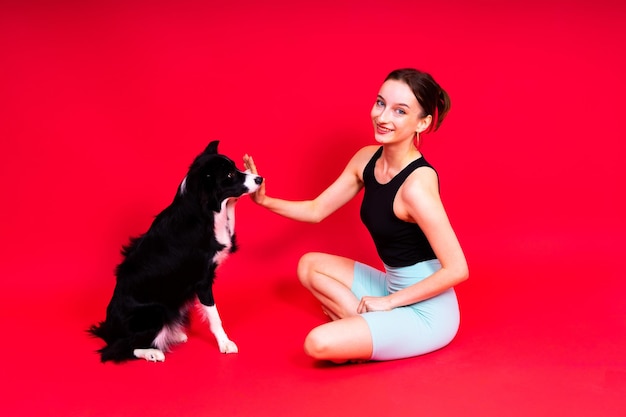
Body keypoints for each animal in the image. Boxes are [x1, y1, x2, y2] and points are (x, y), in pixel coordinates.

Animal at [88, 141, 260, 360]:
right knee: (118, 349)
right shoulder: (202, 281)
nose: (259, 178)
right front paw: (225, 343)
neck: (203, 210)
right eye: (229, 175)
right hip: (155, 311)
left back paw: (172, 334)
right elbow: (214, 316)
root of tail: (108, 331)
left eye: (236, 167)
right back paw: (153, 352)